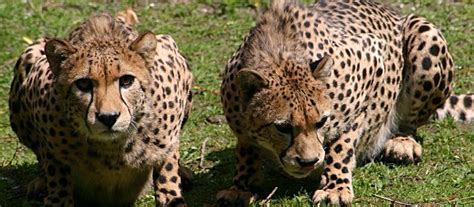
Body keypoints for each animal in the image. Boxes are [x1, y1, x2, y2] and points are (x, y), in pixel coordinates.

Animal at [9, 10, 192, 205]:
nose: (108, 117)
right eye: (83, 84)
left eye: (126, 80)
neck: (111, 150)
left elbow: (168, 172)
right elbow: (55, 177)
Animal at [218, 0, 470, 205]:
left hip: (425, 34)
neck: (281, 55)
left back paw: (402, 141)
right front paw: (242, 185)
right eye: (282, 127)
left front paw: (334, 187)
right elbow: (246, 148)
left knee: (411, 122)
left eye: (321, 123)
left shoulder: (374, 61)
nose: (308, 161)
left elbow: (343, 142)